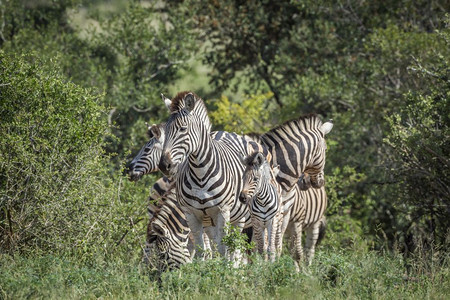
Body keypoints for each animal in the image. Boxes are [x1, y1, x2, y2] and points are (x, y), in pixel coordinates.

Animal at [159, 91, 268, 255]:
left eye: (183, 129)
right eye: (166, 131)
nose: (164, 165)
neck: (200, 174)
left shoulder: (222, 212)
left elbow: (223, 249)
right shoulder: (191, 214)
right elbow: (201, 251)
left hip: (239, 218)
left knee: (235, 249)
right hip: (210, 221)